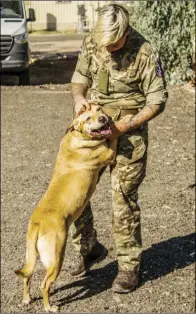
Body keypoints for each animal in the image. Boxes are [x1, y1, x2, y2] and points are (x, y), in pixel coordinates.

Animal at [15, 105, 116, 312]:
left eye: (99, 109)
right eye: (88, 119)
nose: (104, 119)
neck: (77, 137)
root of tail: (37, 224)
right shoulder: (109, 154)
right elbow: (114, 140)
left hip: (31, 256)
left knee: (27, 277)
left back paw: (27, 299)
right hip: (56, 257)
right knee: (44, 284)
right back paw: (50, 307)